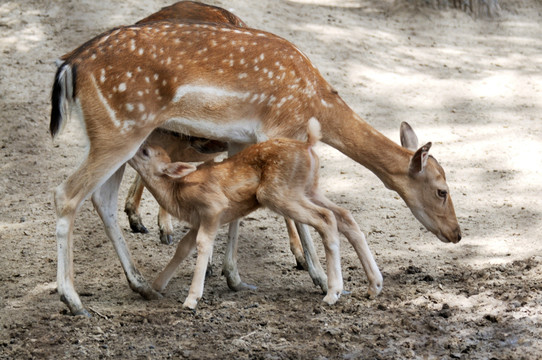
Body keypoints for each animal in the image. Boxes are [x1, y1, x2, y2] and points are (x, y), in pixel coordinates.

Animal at [51, 19, 462, 316]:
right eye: (442, 190)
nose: (456, 233)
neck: (318, 105)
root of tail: (70, 64)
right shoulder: (278, 129)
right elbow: (293, 215)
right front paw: (318, 277)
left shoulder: (241, 138)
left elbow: (237, 204)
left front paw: (234, 277)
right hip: (121, 129)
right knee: (67, 193)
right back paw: (72, 299)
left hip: (114, 135)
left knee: (101, 198)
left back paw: (139, 283)